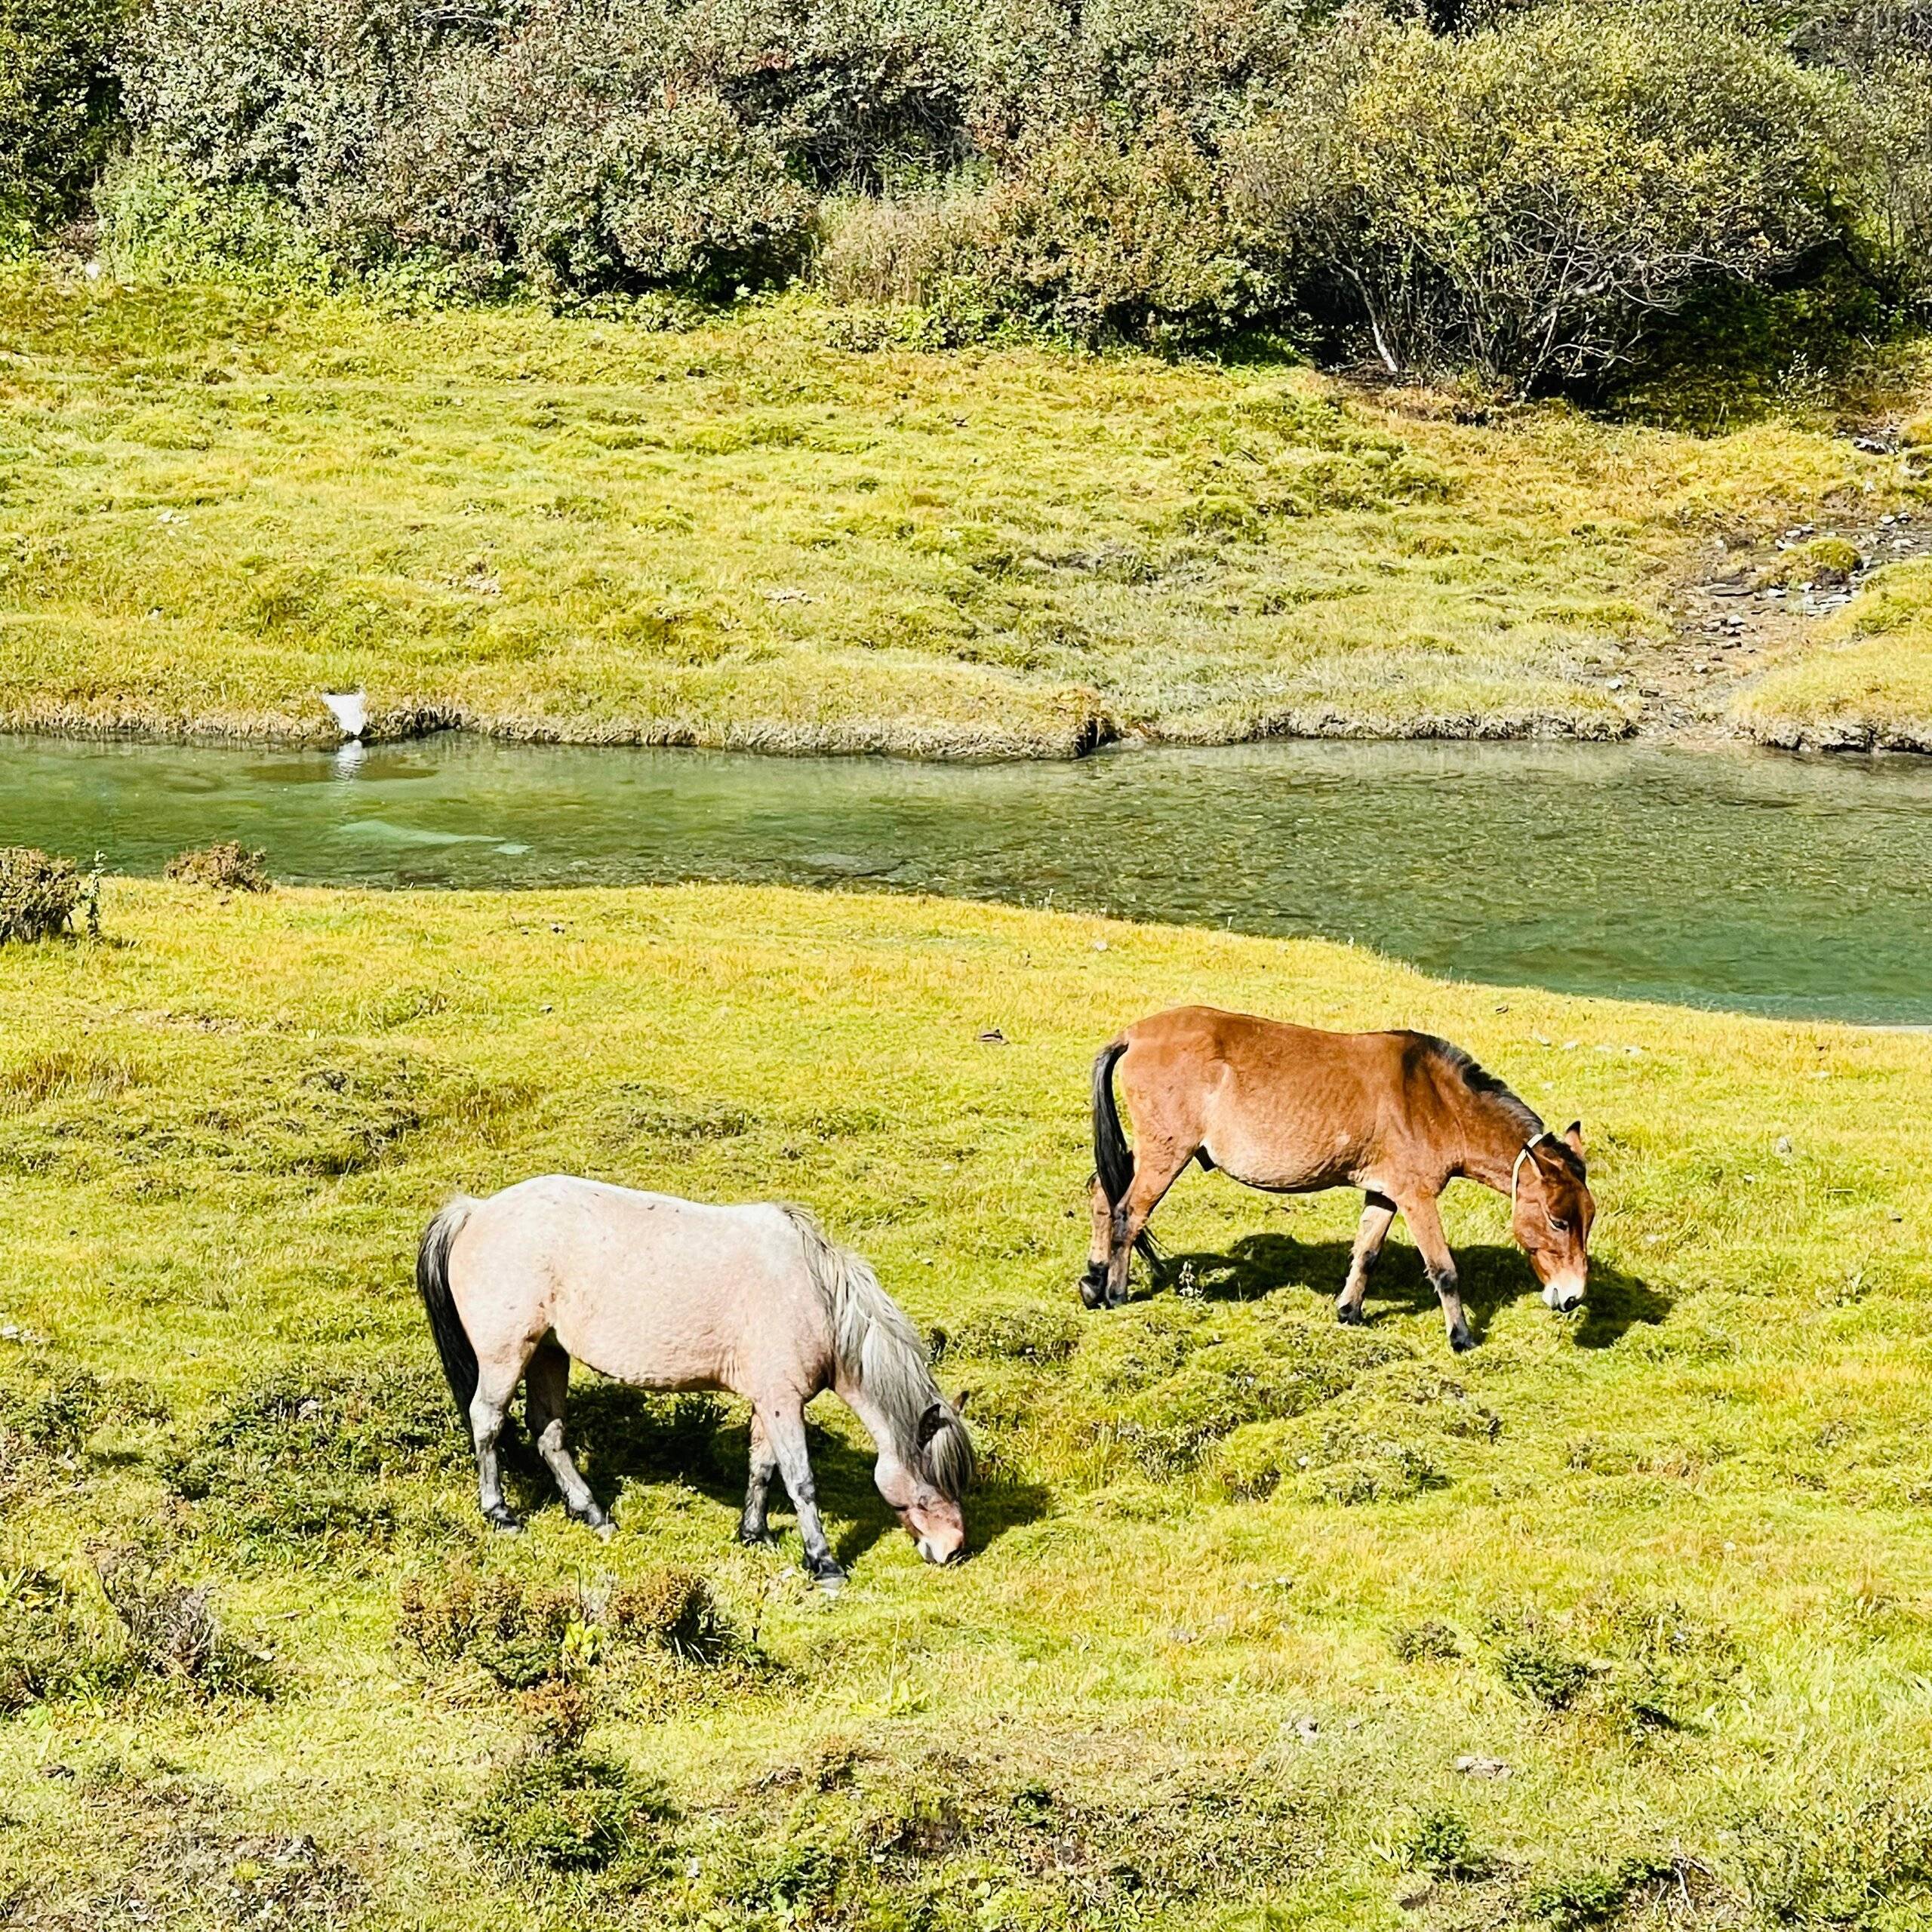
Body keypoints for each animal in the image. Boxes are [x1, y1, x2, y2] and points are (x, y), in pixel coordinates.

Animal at [415, 1174, 974, 1584]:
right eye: (931, 1490)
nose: (952, 1551)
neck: (814, 1292)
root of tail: (475, 1211)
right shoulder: (783, 1402)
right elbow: (800, 1481)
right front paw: (824, 1563)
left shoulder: (768, 1400)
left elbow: (762, 1468)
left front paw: (754, 1534)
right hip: (507, 1355)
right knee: (488, 1421)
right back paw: (500, 1512)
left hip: (549, 1354)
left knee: (548, 1431)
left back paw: (593, 1513)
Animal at [1081, 1004, 1592, 1352]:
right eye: (1558, 1221)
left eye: (1588, 1220)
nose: (1572, 1298)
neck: (1432, 1096)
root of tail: (1134, 1035)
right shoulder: (1417, 1197)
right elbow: (1444, 1269)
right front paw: (1462, 1336)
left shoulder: (1385, 1194)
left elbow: (1366, 1254)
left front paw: (1349, 1310)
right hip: (1167, 1153)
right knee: (1129, 1214)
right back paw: (1116, 1293)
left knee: (1104, 1196)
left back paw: (1094, 1279)